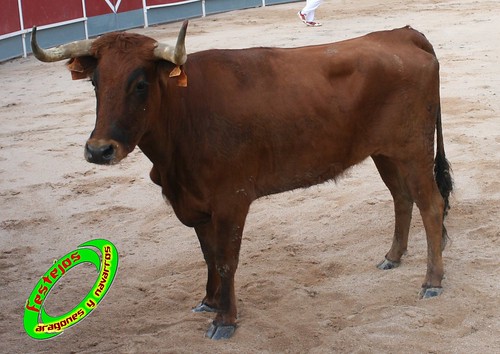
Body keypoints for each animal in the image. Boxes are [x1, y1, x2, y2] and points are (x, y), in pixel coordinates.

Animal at [31, 20, 454, 340]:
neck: (184, 114)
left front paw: (225, 320)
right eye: (95, 83)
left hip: (413, 149)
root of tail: (400, 34)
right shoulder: (198, 205)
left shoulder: (231, 201)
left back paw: (431, 281)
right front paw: (210, 302)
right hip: (385, 153)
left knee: (431, 206)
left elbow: (226, 260)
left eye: (140, 83)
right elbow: (208, 255)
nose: (99, 150)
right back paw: (392, 257)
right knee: (402, 199)